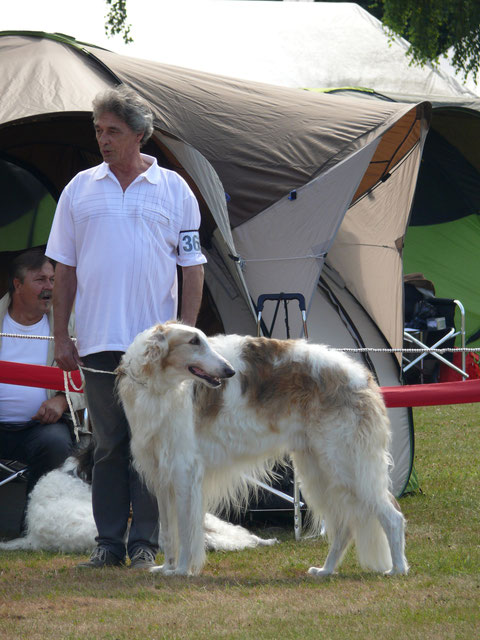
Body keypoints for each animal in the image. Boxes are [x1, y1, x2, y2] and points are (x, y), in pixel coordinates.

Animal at [117, 322, 408, 576]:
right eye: (194, 341)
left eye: (203, 339)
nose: (229, 371)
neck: (159, 388)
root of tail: (364, 378)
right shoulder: (162, 477)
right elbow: (168, 533)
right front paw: (166, 568)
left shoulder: (185, 472)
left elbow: (187, 532)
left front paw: (181, 570)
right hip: (319, 469)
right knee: (344, 528)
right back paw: (325, 570)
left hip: (349, 465)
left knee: (392, 517)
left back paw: (398, 569)